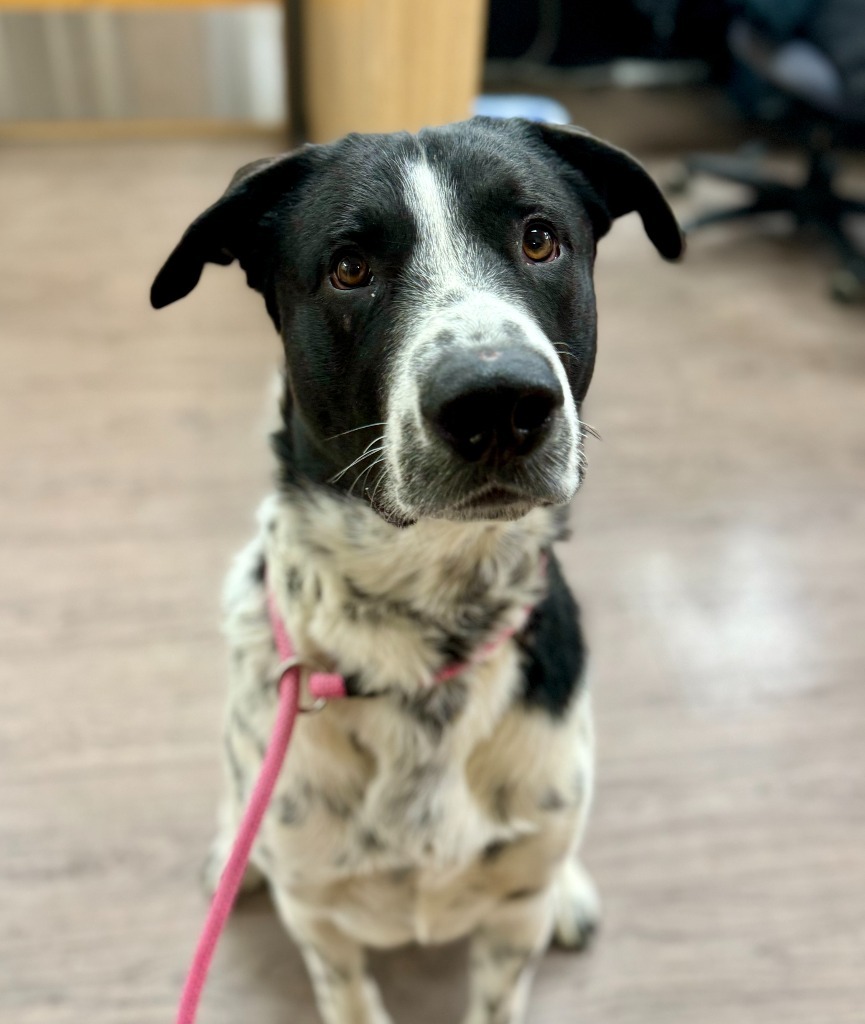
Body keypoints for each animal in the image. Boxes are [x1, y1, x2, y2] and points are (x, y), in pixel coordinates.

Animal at [151, 117, 683, 1024]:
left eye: (538, 238)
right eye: (348, 268)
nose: (498, 401)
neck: (424, 633)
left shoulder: (511, 921)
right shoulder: (318, 919)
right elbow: (348, 994)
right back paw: (233, 855)